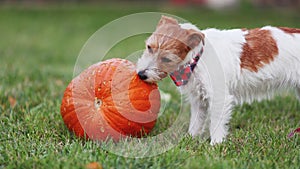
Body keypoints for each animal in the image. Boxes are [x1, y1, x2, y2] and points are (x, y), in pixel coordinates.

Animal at [137, 15, 300, 144]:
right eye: (149, 47)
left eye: (166, 59)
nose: (141, 74)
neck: (197, 58)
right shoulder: (198, 100)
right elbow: (195, 122)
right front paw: (189, 139)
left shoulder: (219, 98)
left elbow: (215, 123)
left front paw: (215, 144)